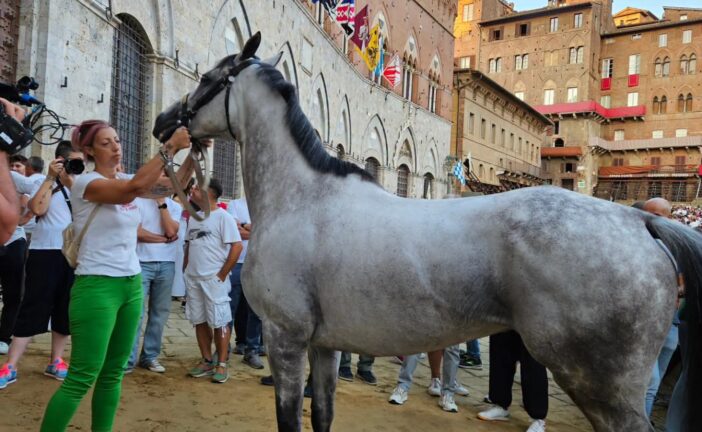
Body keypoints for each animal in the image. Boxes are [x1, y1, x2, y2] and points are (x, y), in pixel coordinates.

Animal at [153, 32, 701, 432]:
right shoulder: (324, 346)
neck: (303, 200)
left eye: (209, 77)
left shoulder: (284, 338)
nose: (163, 122)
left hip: (601, 387)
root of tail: (640, 220)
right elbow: (323, 414)